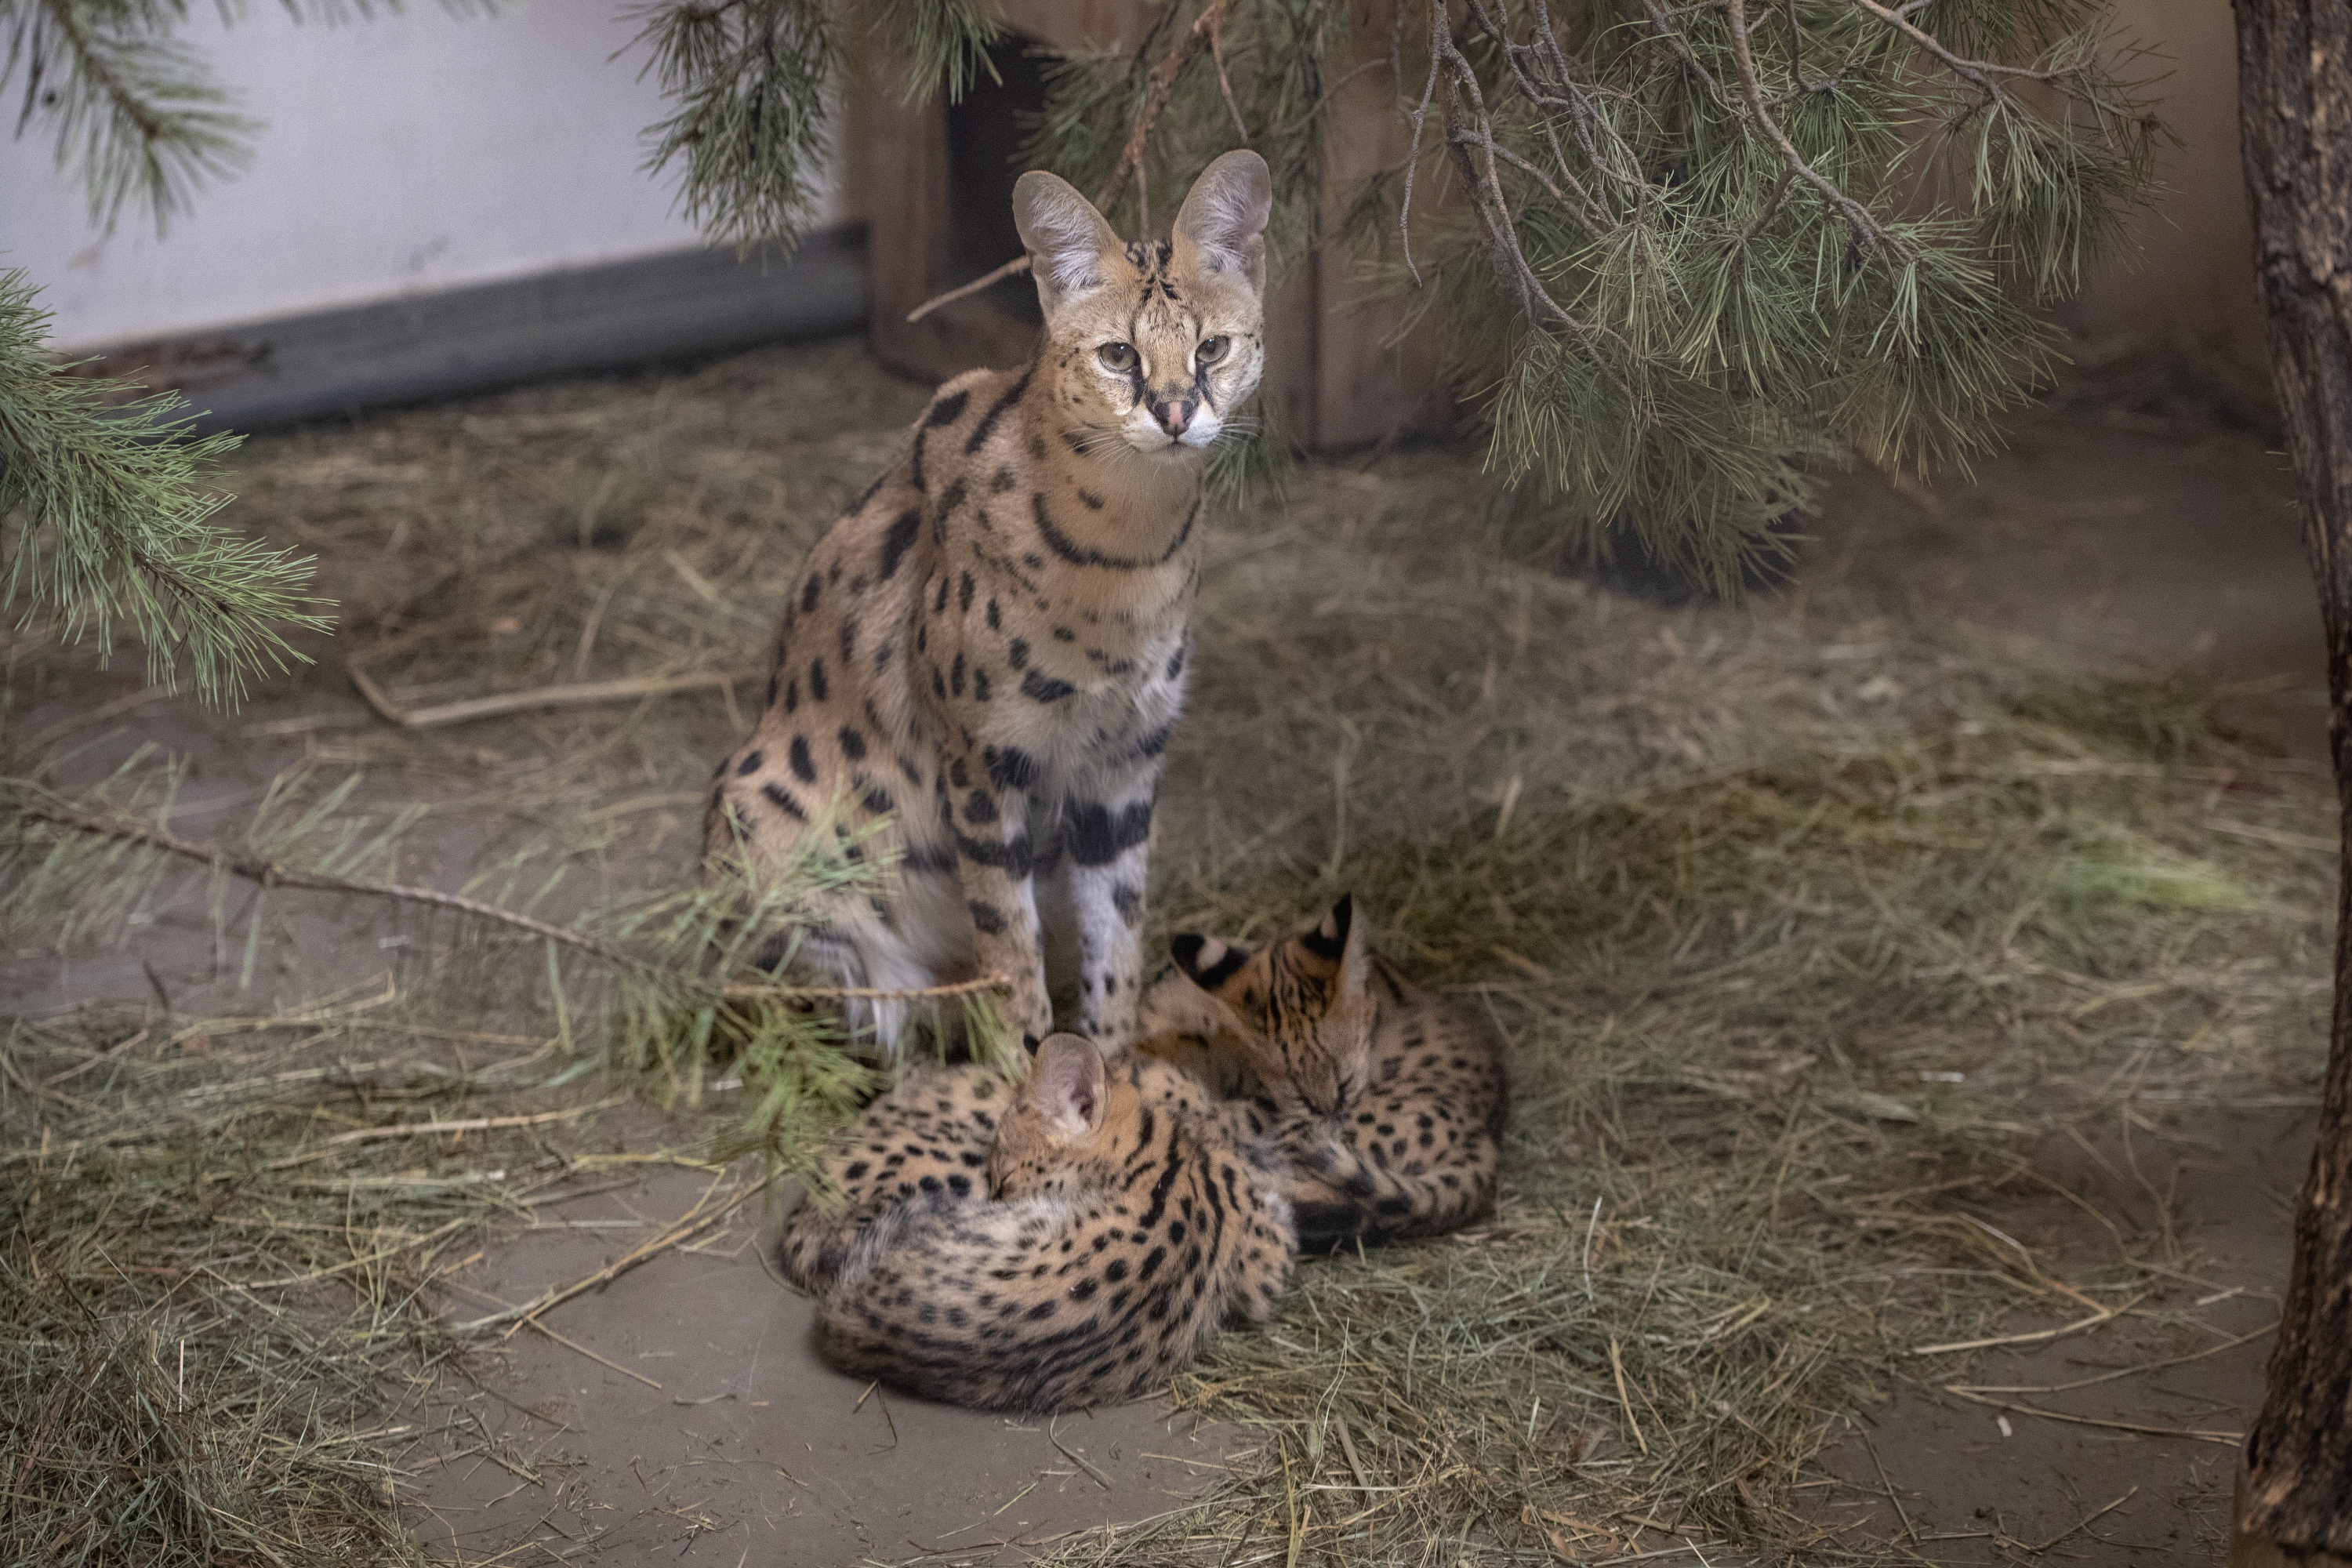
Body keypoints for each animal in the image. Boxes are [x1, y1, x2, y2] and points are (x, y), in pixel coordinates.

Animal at [706, 150, 1279, 1053]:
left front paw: (1110, 1070)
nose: (1176, 412)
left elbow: (1116, 942)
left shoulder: (1125, 767)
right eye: (1119, 356)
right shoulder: (981, 763)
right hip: (761, 811)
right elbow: (1011, 957)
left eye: (1212, 348)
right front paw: (1028, 1072)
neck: (1130, 552)